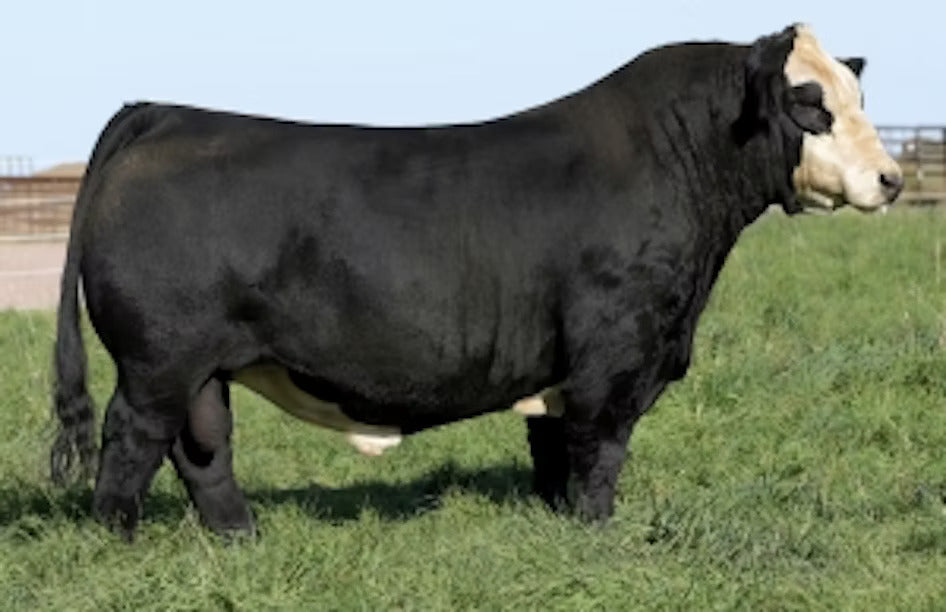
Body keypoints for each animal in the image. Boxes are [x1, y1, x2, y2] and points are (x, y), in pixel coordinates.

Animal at [50, 24, 902, 540]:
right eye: (809, 105)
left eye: (857, 96)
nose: (891, 179)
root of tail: (165, 113)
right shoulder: (613, 359)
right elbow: (598, 452)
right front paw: (599, 535)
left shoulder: (566, 368)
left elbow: (555, 452)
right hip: (158, 360)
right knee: (132, 441)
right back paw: (120, 541)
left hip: (199, 365)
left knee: (203, 448)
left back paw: (241, 539)